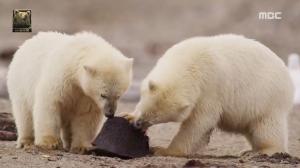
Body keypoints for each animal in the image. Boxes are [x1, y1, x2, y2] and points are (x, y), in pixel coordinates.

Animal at [123, 34, 294, 157]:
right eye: (145, 109)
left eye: (156, 119)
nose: (138, 125)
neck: (188, 61)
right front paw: (128, 116)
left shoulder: (209, 88)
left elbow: (199, 122)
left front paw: (162, 150)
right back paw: (248, 150)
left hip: (267, 98)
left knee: (266, 127)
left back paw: (264, 151)